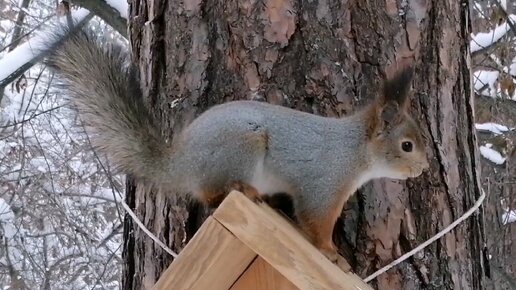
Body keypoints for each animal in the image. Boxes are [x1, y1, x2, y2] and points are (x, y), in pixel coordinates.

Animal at [46, 28, 430, 266]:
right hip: (241, 147)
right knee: (210, 194)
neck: (355, 151)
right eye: (407, 145)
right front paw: (332, 254)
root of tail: (178, 163)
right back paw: (243, 190)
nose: (425, 168)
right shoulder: (322, 185)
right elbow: (315, 222)